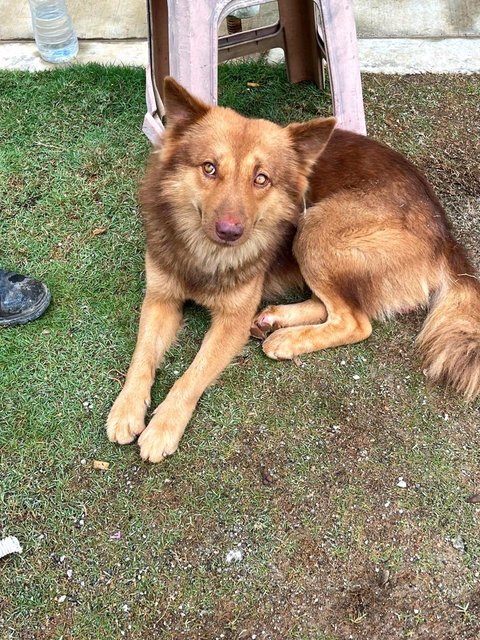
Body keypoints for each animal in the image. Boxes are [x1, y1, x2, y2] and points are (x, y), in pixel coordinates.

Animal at [108, 77, 480, 462]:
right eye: (209, 168)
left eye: (261, 179)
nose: (229, 232)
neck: (206, 254)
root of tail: (447, 237)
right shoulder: (159, 299)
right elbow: (142, 354)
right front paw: (126, 407)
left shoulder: (231, 322)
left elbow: (193, 374)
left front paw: (163, 426)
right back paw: (275, 319)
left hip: (315, 228)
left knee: (355, 321)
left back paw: (286, 339)